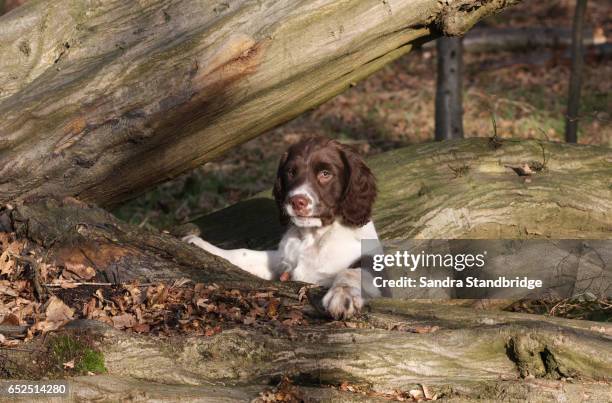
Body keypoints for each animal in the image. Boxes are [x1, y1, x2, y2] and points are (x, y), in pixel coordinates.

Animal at [184, 137, 380, 320]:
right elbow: (242, 253)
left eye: (325, 173)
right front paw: (201, 245)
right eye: (291, 172)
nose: (297, 201)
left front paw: (342, 295)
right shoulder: (281, 262)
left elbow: (353, 271)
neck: (313, 236)